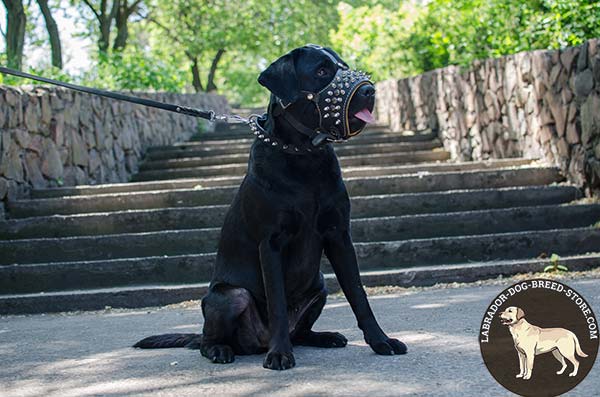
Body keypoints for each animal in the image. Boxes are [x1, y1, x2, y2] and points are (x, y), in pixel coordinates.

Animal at [135, 44, 408, 370]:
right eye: (321, 71)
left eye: (344, 66)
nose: (369, 90)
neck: (304, 155)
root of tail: (256, 342)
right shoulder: (271, 243)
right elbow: (277, 301)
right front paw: (279, 353)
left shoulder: (339, 235)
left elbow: (358, 294)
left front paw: (381, 341)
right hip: (231, 296)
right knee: (206, 340)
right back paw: (222, 349)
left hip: (319, 284)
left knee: (301, 332)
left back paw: (324, 337)